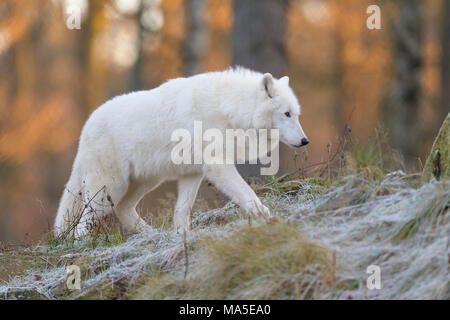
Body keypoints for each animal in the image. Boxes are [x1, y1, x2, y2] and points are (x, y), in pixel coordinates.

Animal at [54, 68, 310, 238]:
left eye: (297, 114)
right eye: (286, 114)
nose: (305, 141)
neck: (230, 110)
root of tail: (86, 127)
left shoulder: (192, 174)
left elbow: (182, 209)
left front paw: (182, 235)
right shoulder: (217, 166)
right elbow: (247, 194)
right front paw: (267, 216)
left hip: (144, 183)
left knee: (123, 209)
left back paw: (151, 234)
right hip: (110, 189)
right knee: (83, 224)